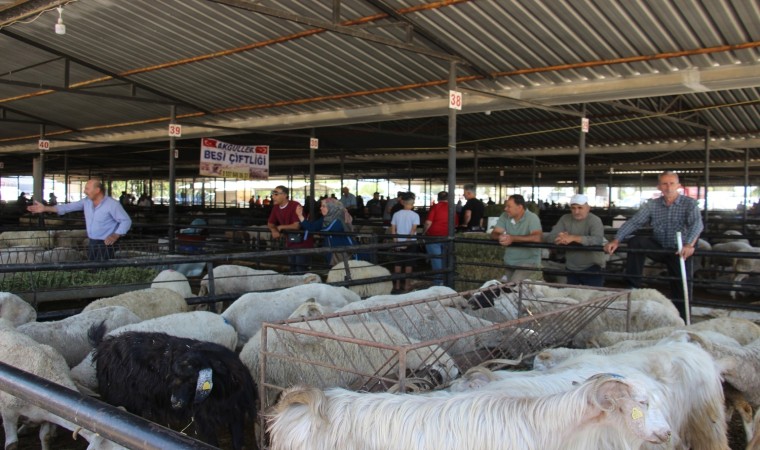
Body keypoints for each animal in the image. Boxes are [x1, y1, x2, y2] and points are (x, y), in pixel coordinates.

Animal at [92, 330, 257, 450]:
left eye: (192, 379)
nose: (174, 402)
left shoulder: (236, 414)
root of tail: (106, 344)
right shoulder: (203, 421)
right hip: (119, 399)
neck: (221, 395)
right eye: (173, 377)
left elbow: (237, 442)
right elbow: (212, 443)